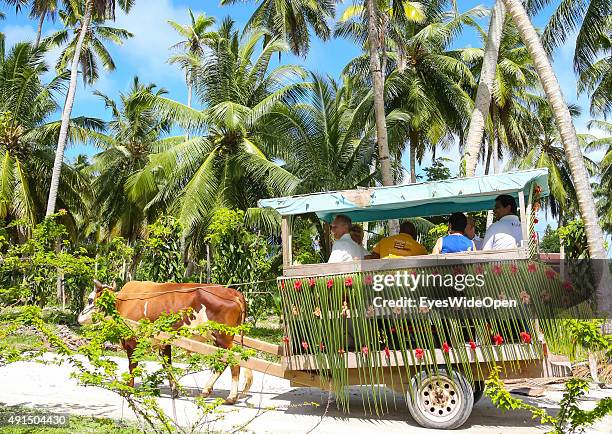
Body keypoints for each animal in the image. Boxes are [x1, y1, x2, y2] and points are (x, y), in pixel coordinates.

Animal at [78, 280, 253, 406]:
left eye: (90, 299)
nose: (80, 317)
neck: (121, 302)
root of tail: (234, 292)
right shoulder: (163, 342)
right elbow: (167, 364)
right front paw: (174, 390)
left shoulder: (132, 341)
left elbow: (132, 365)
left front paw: (128, 388)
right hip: (220, 340)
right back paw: (209, 391)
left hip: (223, 338)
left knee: (233, 362)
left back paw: (230, 397)